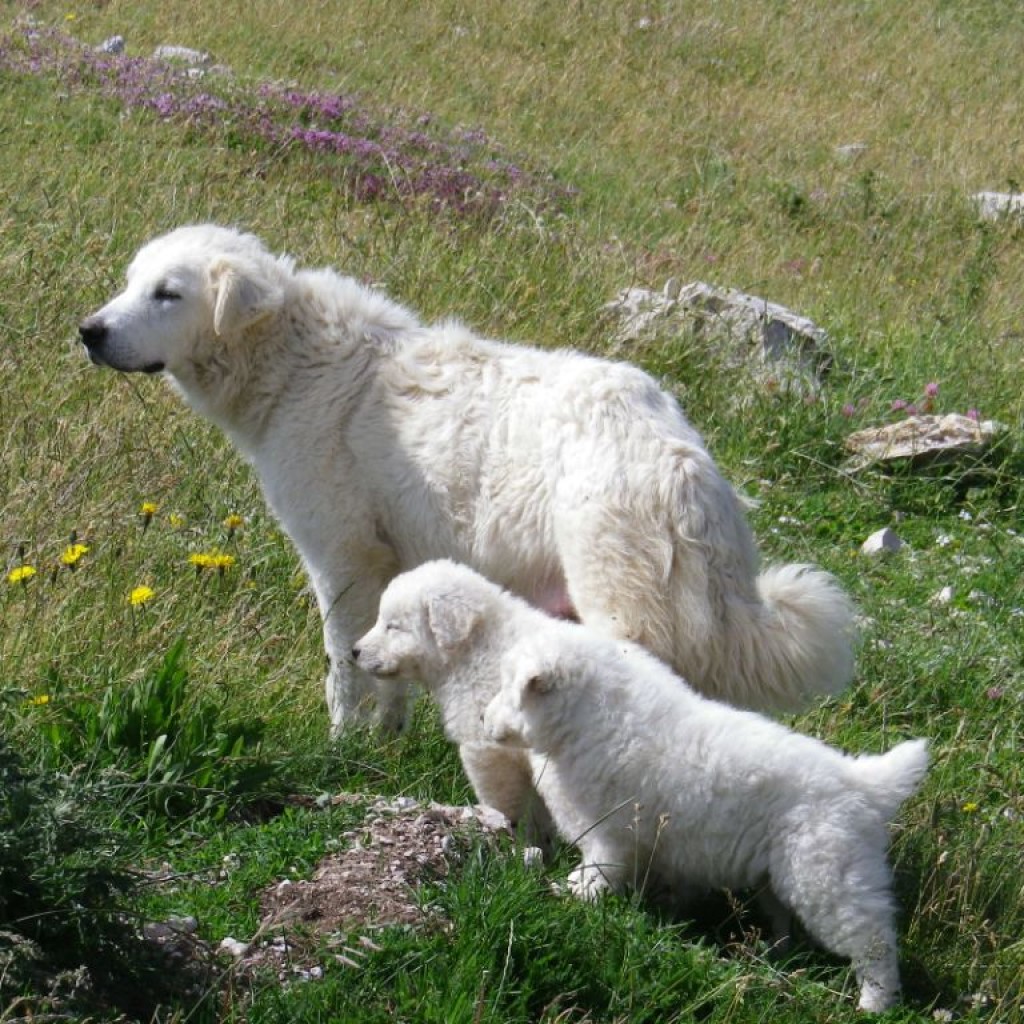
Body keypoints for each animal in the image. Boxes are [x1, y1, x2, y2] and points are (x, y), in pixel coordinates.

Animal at [81, 224, 856, 737]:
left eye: (168, 294)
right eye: (130, 283)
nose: (89, 331)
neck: (294, 360)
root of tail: (683, 464)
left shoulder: (342, 557)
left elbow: (342, 665)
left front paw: (342, 744)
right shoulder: (391, 561)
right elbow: (383, 659)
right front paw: (385, 740)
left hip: (623, 605)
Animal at [483, 626, 933, 1011]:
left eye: (509, 687)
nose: (485, 719)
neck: (588, 718)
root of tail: (865, 785)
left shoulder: (610, 835)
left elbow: (596, 873)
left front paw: (572, 893)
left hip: (827, 877)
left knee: (873, 939)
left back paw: (874, 1003)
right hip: (788, 877)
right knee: (788, 918)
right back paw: (773, 951)